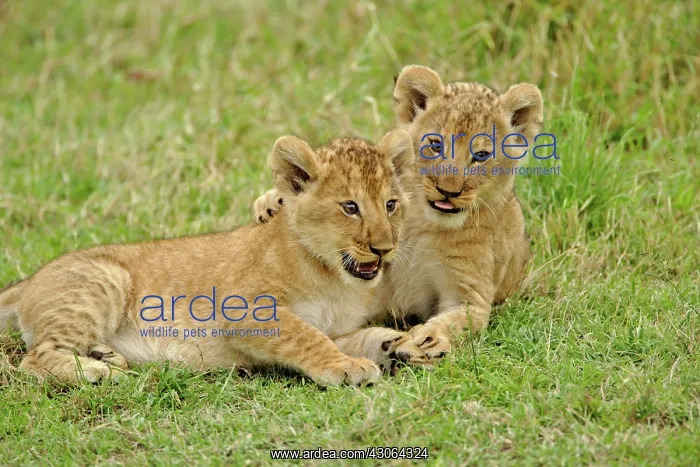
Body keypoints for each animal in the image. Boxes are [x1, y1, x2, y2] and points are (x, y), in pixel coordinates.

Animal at [0, 129, 431, 385]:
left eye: (391, 204)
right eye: (350, 207)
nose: (384, 248)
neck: (334, 277)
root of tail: (30, 280)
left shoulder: (337, 327)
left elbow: (352, 336)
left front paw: (397, 342)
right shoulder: (246, 309)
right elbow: (307, 338)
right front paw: (346, 367)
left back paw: (106, 356)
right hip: (106, 280)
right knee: (34, 359)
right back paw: (97, 371)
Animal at [253, 66, 543, 359]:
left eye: (481, 156)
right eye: (435, 145)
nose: (448, 191)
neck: (425, 225)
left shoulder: (471, 293)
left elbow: (458, 318)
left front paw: (428, 339)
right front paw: (272, 201)